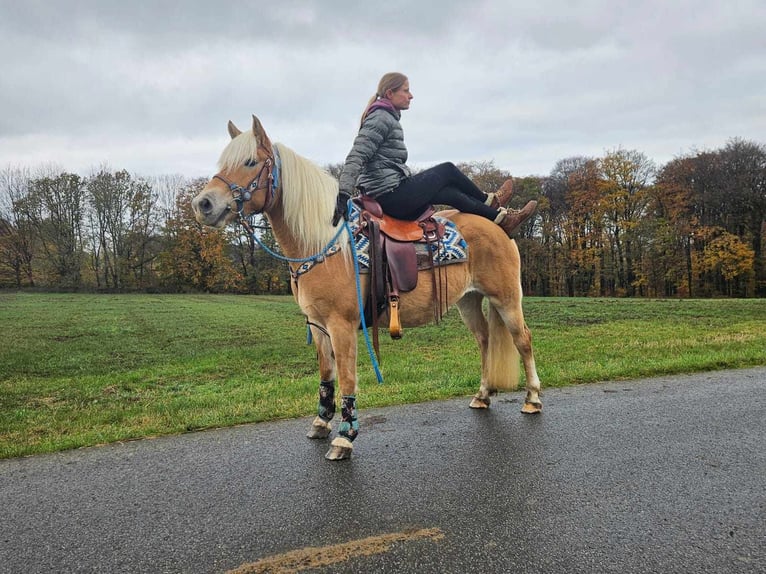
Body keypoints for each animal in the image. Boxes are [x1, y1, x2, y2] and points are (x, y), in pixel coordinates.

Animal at [192, 117, 544, 464]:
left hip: (507, 299)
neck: (326, 243)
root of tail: (499, 228)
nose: (203, 204)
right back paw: (482, 395)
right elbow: (326, 373)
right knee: (484, 340)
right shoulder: (317, 325)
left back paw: (533, 398)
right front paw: (321, 422)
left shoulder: (342, 326)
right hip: (469, 301)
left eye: (250, 162)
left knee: (523, 340)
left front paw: (345, 437)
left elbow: (347, 376)